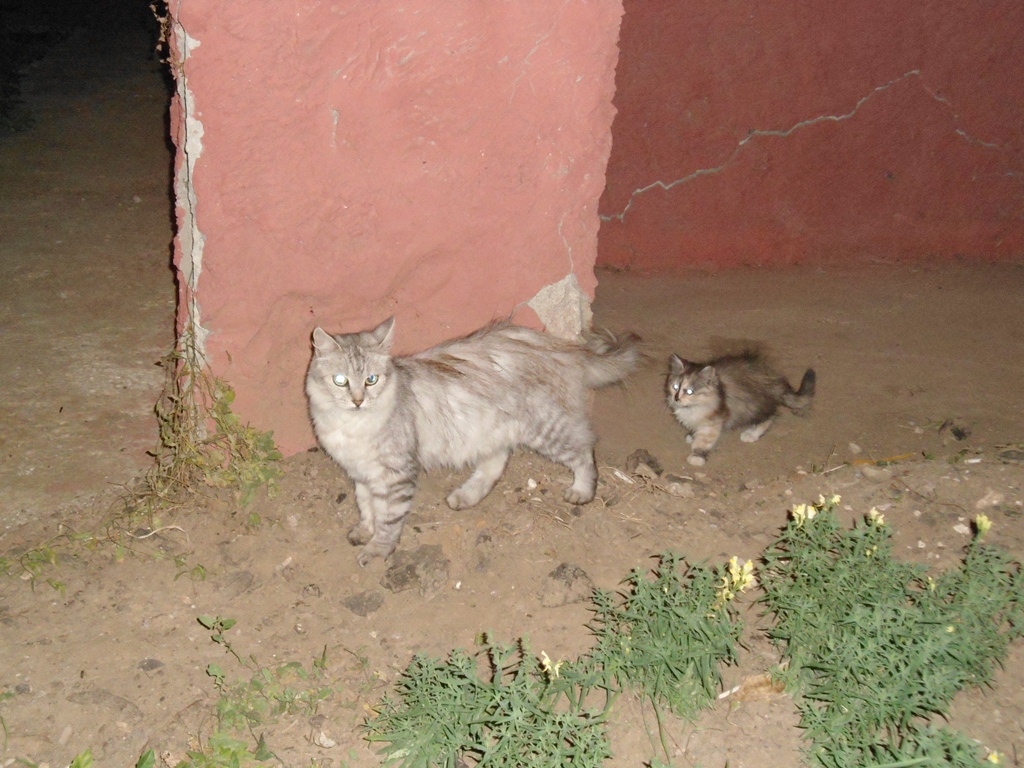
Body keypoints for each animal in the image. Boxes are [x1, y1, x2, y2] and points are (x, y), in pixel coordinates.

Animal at [306, 317, 641, 565]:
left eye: (371, 380)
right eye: (340, 381)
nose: (358, 401)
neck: (351, 426)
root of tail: (561, 347)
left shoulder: (396, 473)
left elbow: (388, 518)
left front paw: (378, 549)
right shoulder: (361, 472)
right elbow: (366, 507)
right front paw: (365, 531)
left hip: (546, 429)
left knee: (585, 449)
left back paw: (582, 491)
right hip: (491, 429)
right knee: (495, 464)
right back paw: (466, 496)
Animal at [665, 351, 815, 466]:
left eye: (689, 391)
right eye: (675, 387)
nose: (676, 398)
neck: (692, 408)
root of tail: (775, 377)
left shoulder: (713, 423)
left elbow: (703, 441)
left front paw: (697, 456)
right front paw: (692, 435)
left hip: (755, 406)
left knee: (769, 417)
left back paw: (752, 434)